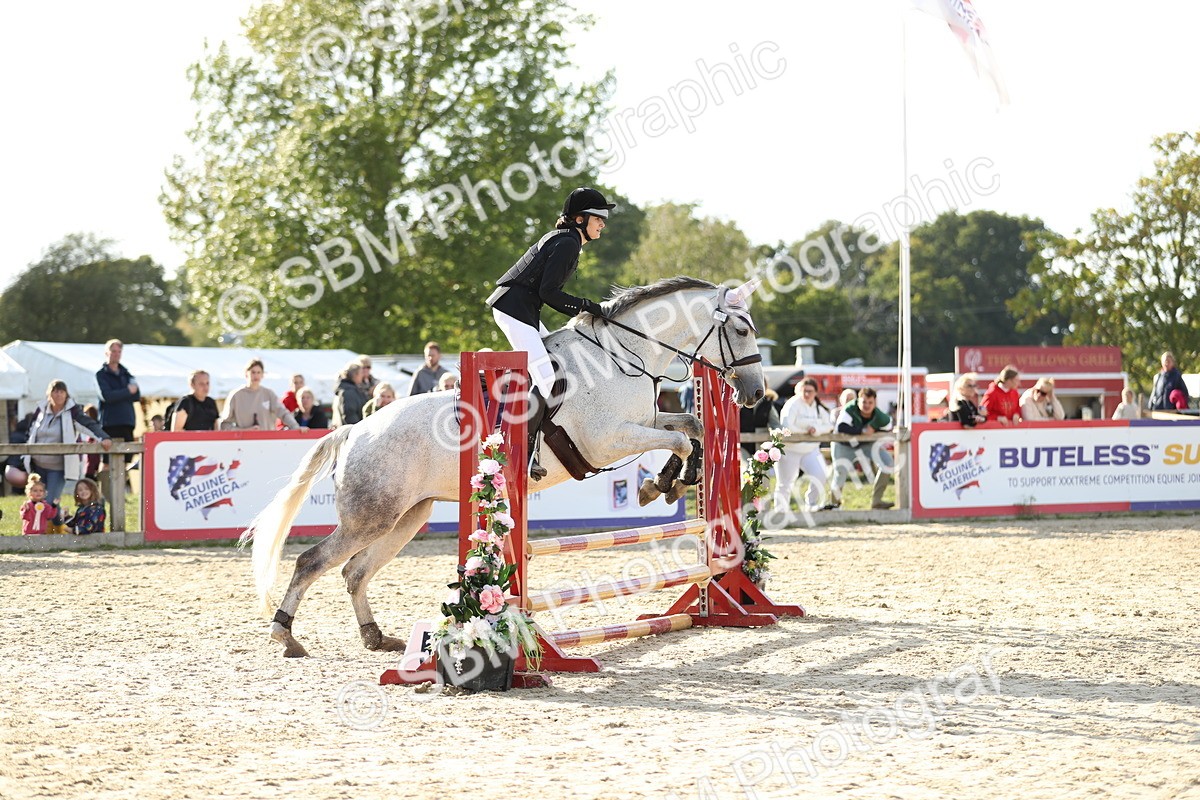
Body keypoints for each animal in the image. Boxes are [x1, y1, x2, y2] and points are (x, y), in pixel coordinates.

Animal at [241, 276, 767, 657]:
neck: (625, 357)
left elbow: (691, 426)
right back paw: (285, 636)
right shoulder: (608, 440)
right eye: (742, 330)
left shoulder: (644, 420)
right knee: (312, 561)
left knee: (354, 571)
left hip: (406, 516)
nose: (757, 394)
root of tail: (354, 430)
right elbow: (679, 437)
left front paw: (670, 482)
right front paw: (661, 485)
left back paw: (376, 637)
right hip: (371, 515)